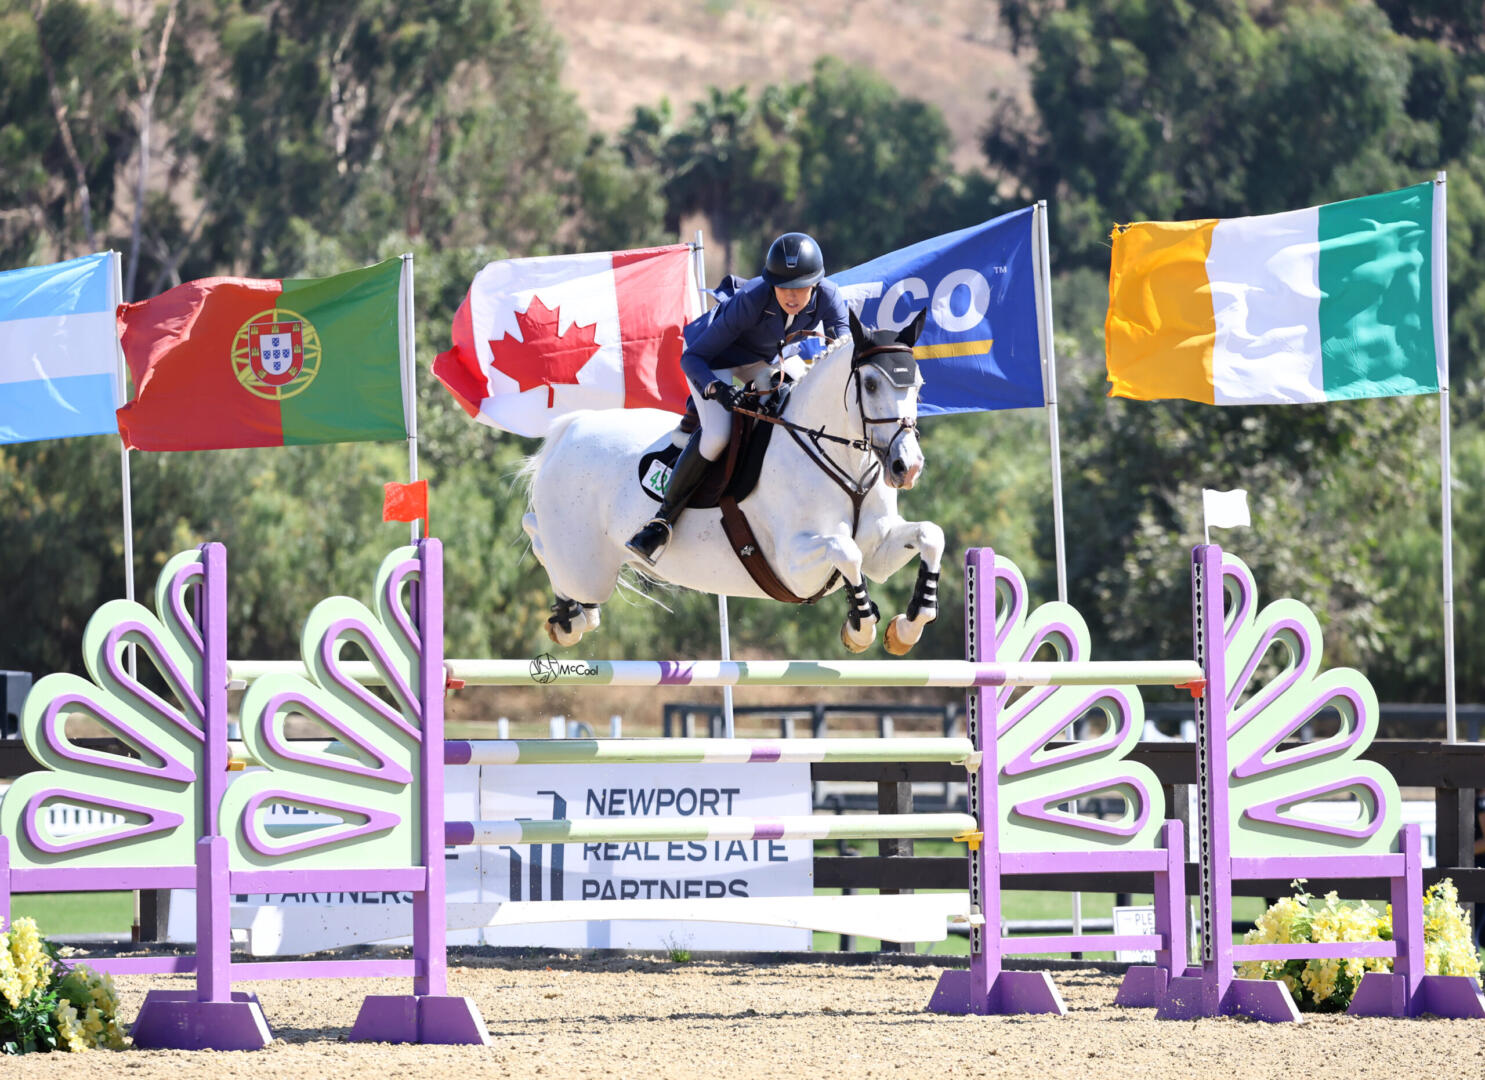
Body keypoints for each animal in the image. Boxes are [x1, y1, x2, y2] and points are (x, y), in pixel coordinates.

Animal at [522, 308, 938, 653]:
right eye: (870, 384)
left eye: (919, 385)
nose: (907, 466)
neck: (844, 459)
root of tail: (572, 426)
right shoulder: (794, 565)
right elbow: (846, 550)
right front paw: (860, 630)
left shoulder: (878, 547)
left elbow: (930, 536)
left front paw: (906, 628)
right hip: (584, 565)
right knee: (541, 540)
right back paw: (570, 613)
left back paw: (573, 616)